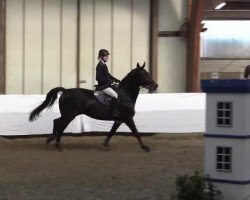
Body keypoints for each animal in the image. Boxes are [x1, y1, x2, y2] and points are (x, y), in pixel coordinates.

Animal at [29, 62, 158, 152]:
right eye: (144, 74)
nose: (155, 86)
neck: (126, 95)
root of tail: (65, 91)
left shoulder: (119, 120)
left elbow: (112, 132)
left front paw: (105, 145)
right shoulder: (128, 118)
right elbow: (136, 132)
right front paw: (145, 147)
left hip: (67, 115)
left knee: (57, 122)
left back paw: (51, 139)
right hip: (69, 115)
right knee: (59, 124)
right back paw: (57, 144)